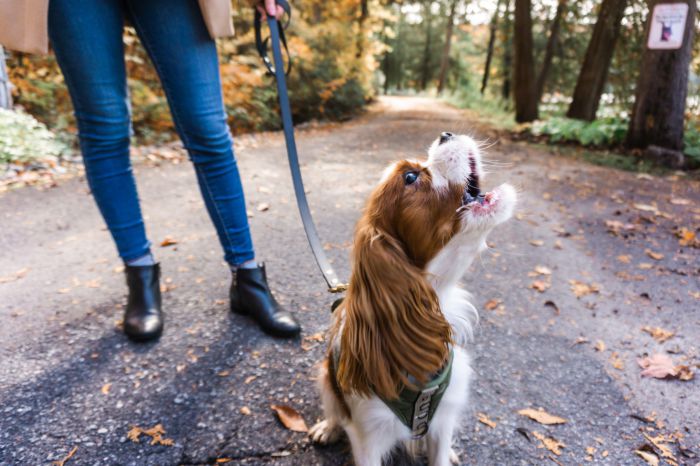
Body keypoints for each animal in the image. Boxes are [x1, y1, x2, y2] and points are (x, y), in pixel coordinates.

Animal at [308, 132, 516, 466]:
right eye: (410, 177)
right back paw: (327, 427)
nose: (446, 134)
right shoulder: (367, 436)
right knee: (333, 408)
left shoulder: (444, 417)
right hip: (326, 377)